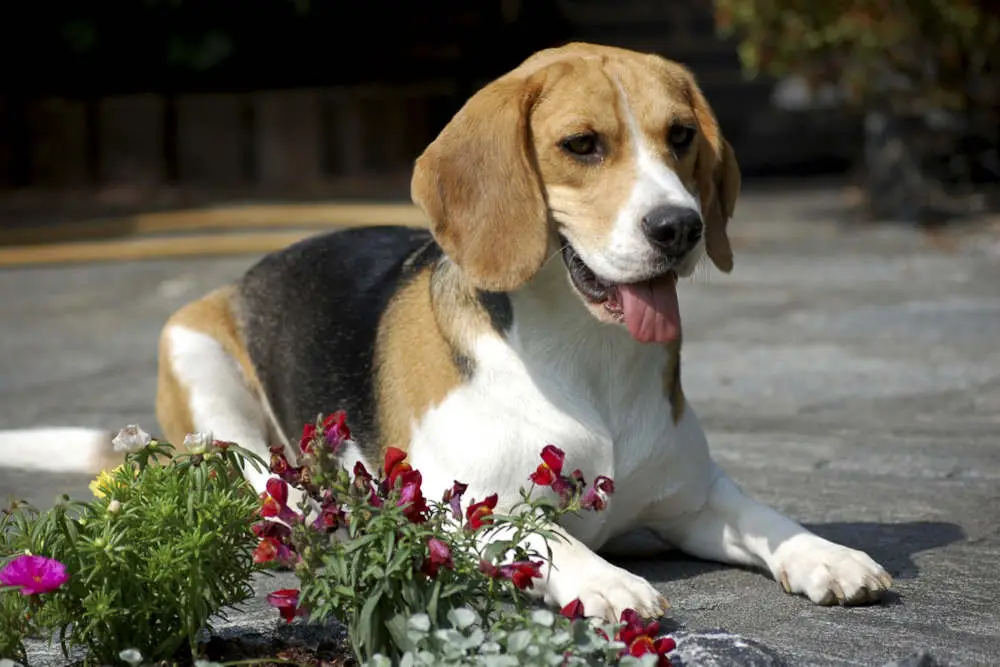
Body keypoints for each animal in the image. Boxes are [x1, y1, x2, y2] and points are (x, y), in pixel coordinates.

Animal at [156, 41, 892, 624]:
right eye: (582, 145)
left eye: (681, 135)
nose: (681, 227)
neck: (590, 354)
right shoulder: (458, 507)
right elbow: (546, 534)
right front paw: (607, 579)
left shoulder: (696, 497)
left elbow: (767, 516)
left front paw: (827, 555)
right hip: (193, 350)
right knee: (258, 481)